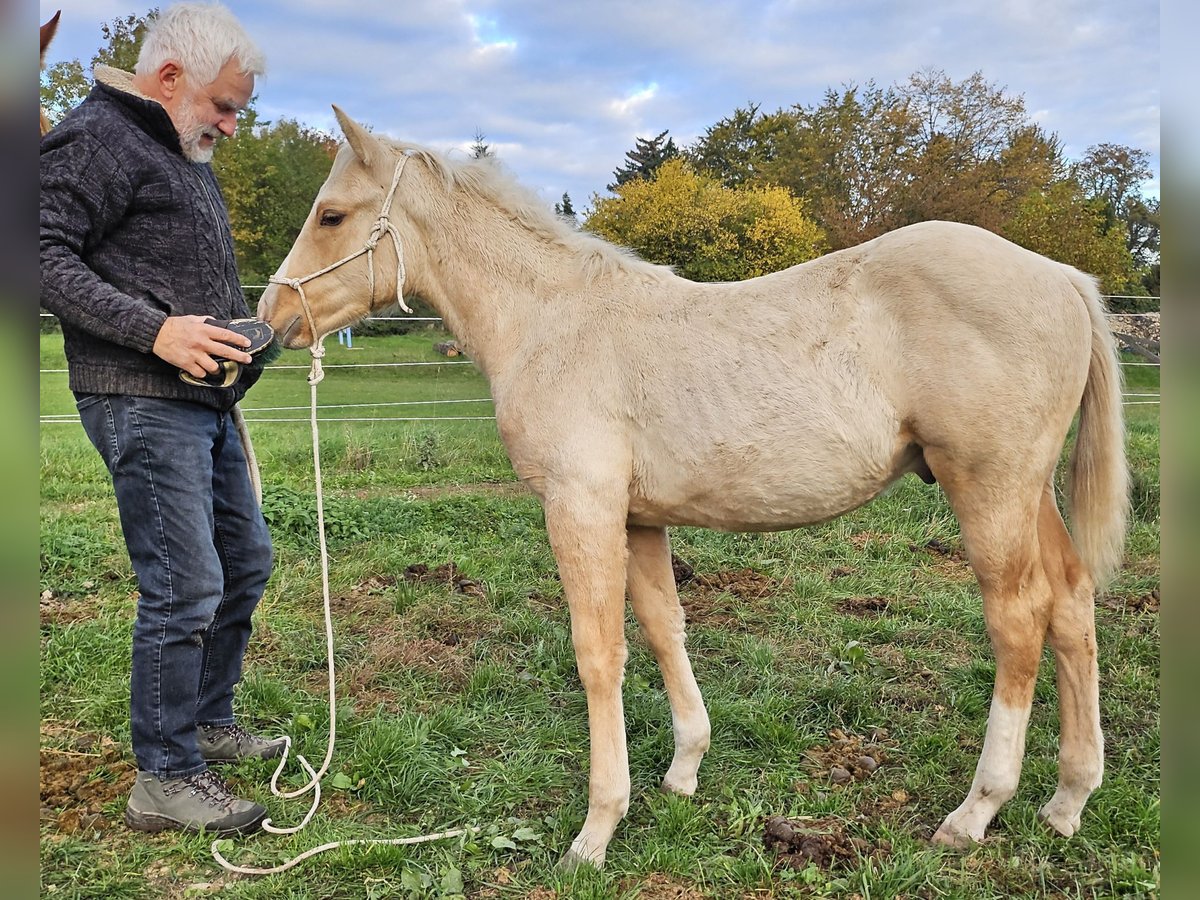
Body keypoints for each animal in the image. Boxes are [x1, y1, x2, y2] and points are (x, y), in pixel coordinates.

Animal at [258, 107, 1128, 873]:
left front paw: (597, 830)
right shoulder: (639, 518)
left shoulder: (580, 507)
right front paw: (683, 769)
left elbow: (599, 653)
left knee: (1019, 620)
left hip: (989, 489)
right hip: (1028, 492)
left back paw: (977, 811)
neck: (553, 323)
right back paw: (1068, 800)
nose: (271, 317)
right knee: (1072, 603)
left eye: (332, 215)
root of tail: (1062, 278)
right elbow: (662, 626)